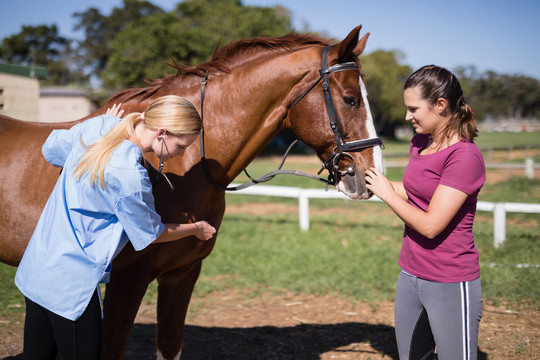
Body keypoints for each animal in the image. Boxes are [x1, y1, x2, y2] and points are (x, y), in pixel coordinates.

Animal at [0, 23, 382, 358]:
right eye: (350, 100)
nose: (369, 175)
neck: (183, 165)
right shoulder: (128, 279)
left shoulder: (182, 275)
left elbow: (170, 346)